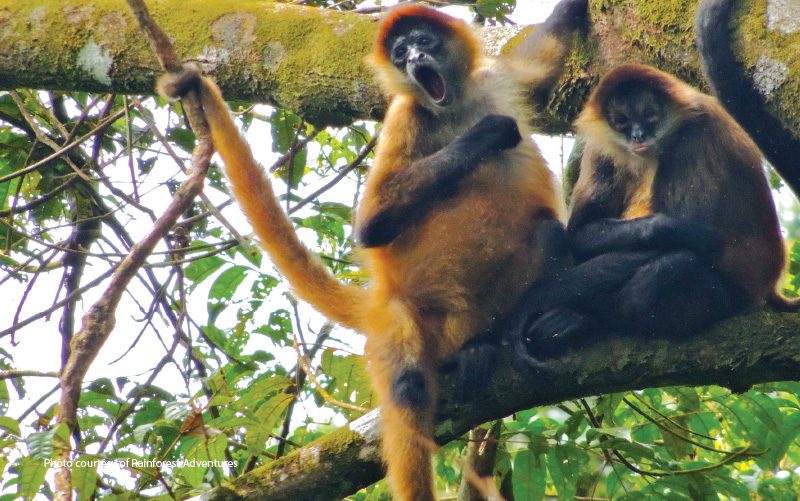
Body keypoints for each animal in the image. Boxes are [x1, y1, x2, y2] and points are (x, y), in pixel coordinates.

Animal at [159, 1, 588, 498]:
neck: (456, 107)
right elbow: (371, 226)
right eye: (400, 54)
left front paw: (573, 11)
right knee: (408, 385)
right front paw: (487, 135)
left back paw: (493, 341)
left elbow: (546, 52)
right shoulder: (407, 115)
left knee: (549, 233)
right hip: (402, 319)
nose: (415, 59)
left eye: (423, 41)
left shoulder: (494, 79)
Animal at [496, 63, 796, 372]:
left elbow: (698, 242)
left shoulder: (697, 131)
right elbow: (582, 233)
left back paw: (586, 318)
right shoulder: (602, 145)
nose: (638, 135)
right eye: (621, 121)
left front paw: (532, 304)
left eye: (650, 115)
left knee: (673, 268)